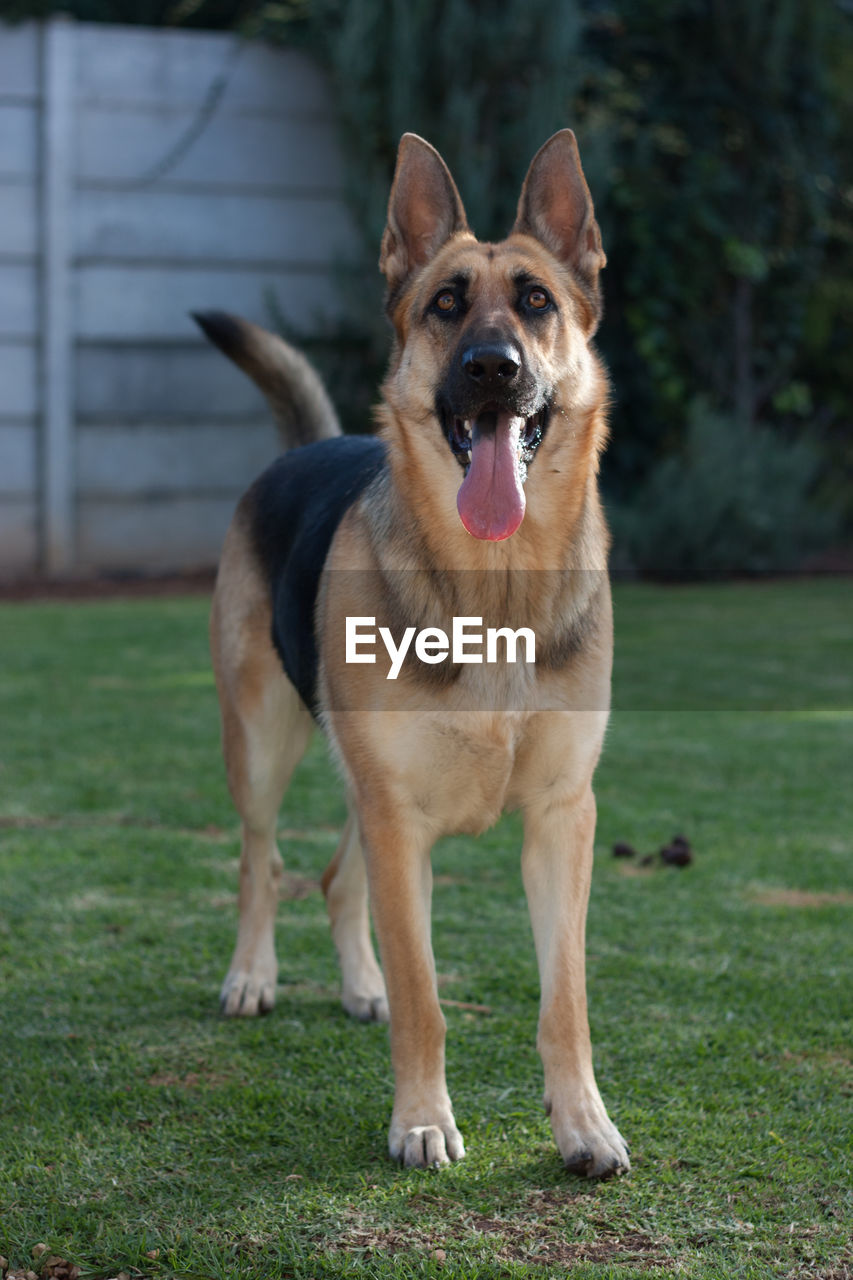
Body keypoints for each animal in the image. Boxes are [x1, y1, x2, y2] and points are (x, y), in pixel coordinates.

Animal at [195, 129, 627, 1177]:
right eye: (444, 303)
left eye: (536, 301)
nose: (492, 368)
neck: (493, 586)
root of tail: (307, 447)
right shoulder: (401, 821)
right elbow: (427, 996)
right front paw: (423, 1120)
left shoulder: (560, 820)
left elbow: (565, 1000)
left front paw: (583, 1124)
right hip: (262, 744)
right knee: (262, 858)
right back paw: (252, 976)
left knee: (335, 878)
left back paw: (359, 983)